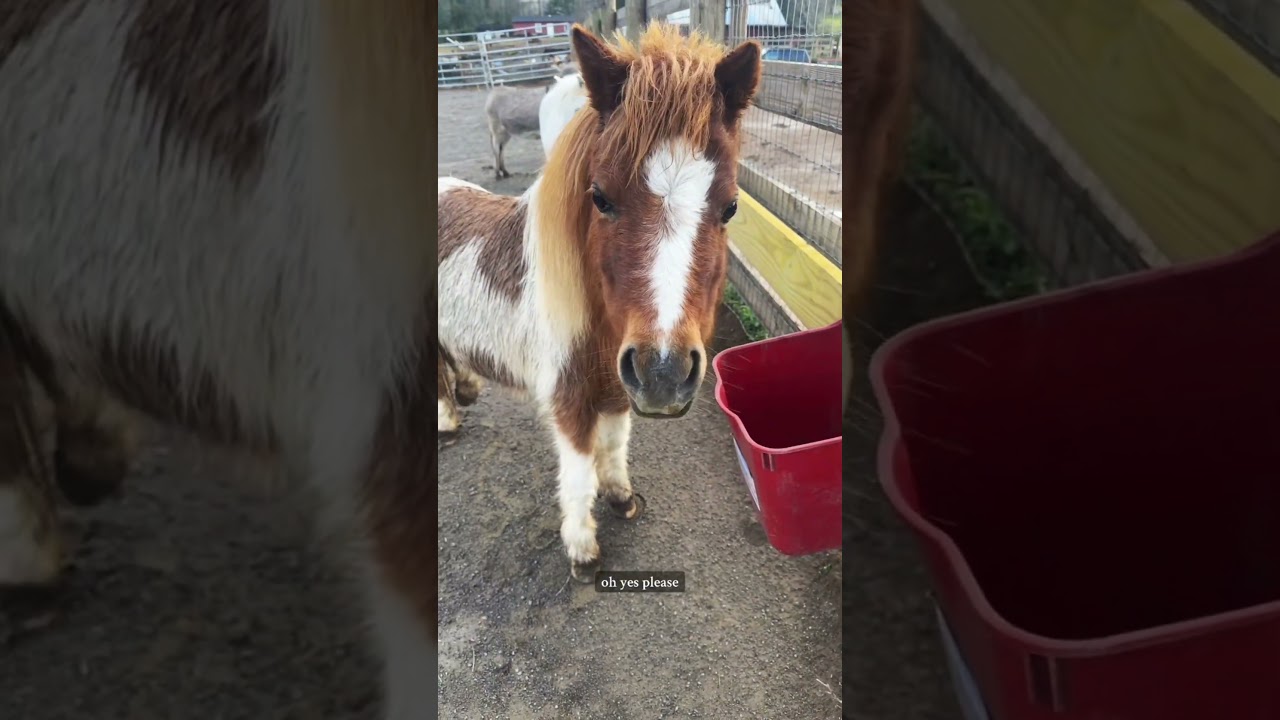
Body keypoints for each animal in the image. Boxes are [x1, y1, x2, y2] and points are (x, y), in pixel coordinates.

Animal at [438, 23, 762, 582]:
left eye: (730, 207)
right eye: (601, 198)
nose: (664, 373)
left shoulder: (615, 388)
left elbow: (613, 447)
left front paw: (622, 498)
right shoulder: (569, 401)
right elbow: (577, 474)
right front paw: (582, 549)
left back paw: (467, 390)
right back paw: (447, 423)